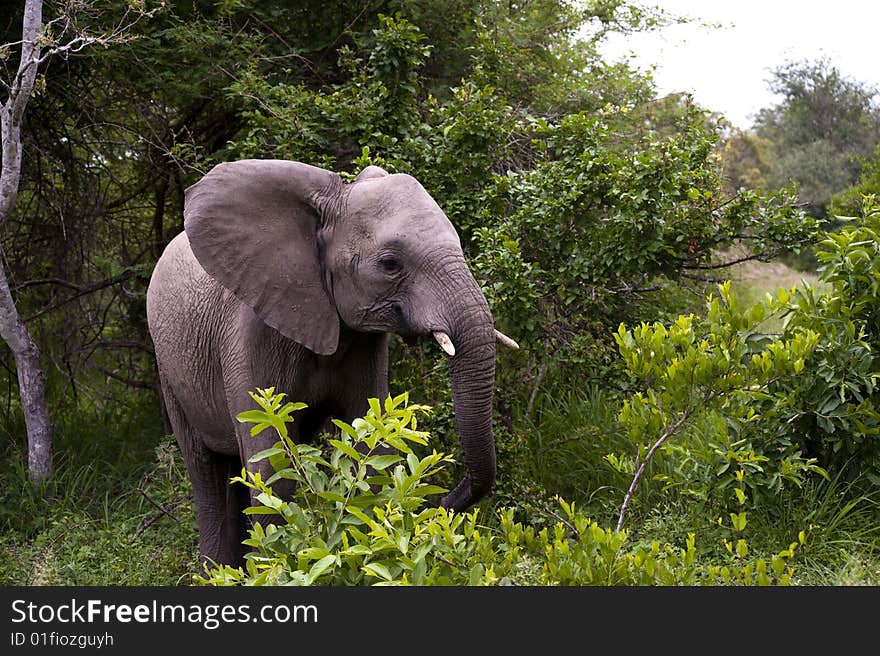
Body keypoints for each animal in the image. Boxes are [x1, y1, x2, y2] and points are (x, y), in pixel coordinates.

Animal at [144, 160, 516, 568]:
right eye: (390, 264)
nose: (439, 507)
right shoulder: (250, 333)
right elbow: (271, 465)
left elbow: (374, 445)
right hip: (170, 372)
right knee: (206, 475)